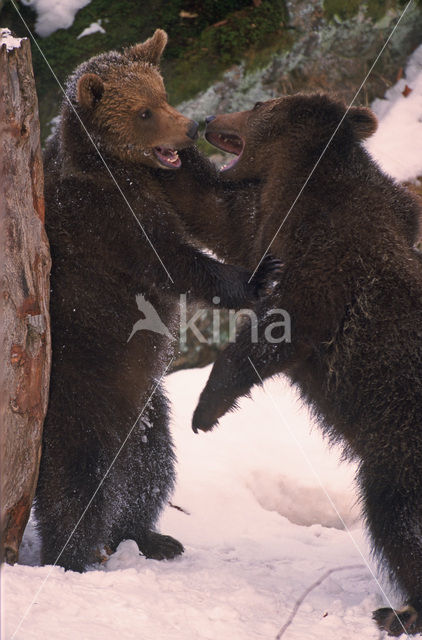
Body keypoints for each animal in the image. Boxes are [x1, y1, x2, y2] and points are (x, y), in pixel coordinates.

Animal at [36, 30, 276, 572]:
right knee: (74, 479)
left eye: (162, 92)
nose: (189, 128)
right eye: (143, 111)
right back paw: (75, 555)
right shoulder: (108, 220)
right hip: (80, 395)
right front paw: (255, 277)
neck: (120, 169)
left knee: (150, 467)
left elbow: (215, 204)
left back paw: (152, 536)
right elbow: (174, 262)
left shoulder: (163, 187)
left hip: (148, 408)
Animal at [193, 92, 422, 636]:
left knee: (395, 519)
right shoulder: (267, 224)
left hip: (398, 448)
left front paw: (206, 409)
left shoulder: (329, 257)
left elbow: (279, 327)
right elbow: (226, 221)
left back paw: (400, 610)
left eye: (257, 103)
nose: (206, 119)